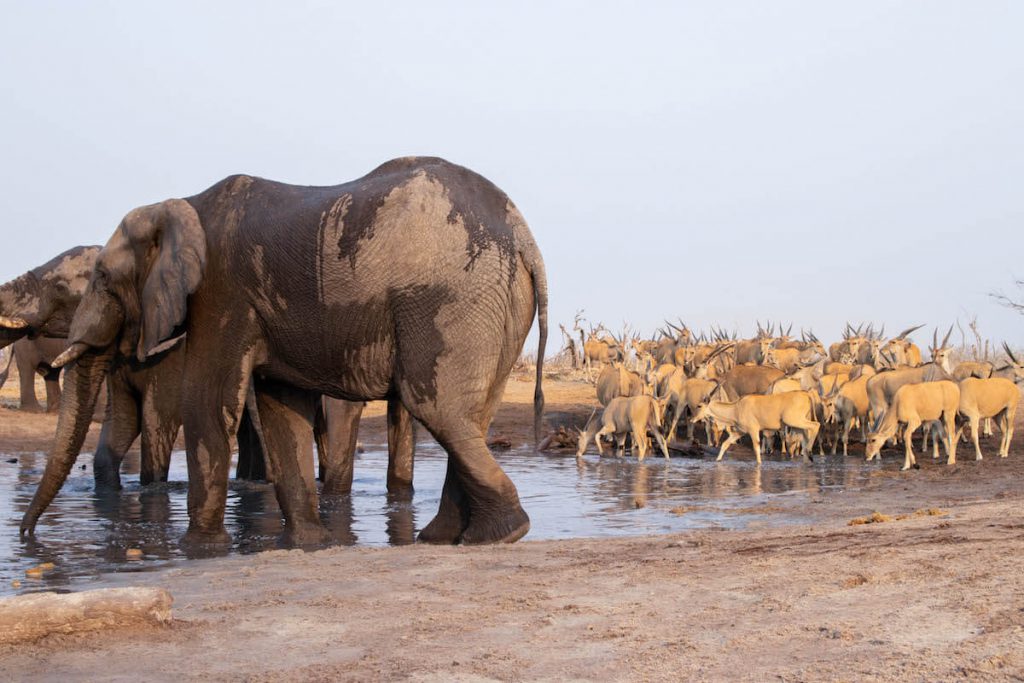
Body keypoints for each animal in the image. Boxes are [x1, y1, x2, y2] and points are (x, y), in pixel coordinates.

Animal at [22, 157, 544, 548]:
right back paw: (448, 537)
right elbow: (280, 409)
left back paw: (499, 535)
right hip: (495, 301)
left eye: (102, 279)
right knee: (470, 415)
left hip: (450, 297)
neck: (179, 206)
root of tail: (523, 233)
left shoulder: (222, 293)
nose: (26, 535)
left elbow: (209, 401)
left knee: (436, 406)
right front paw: (308, 543)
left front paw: (199, 548)